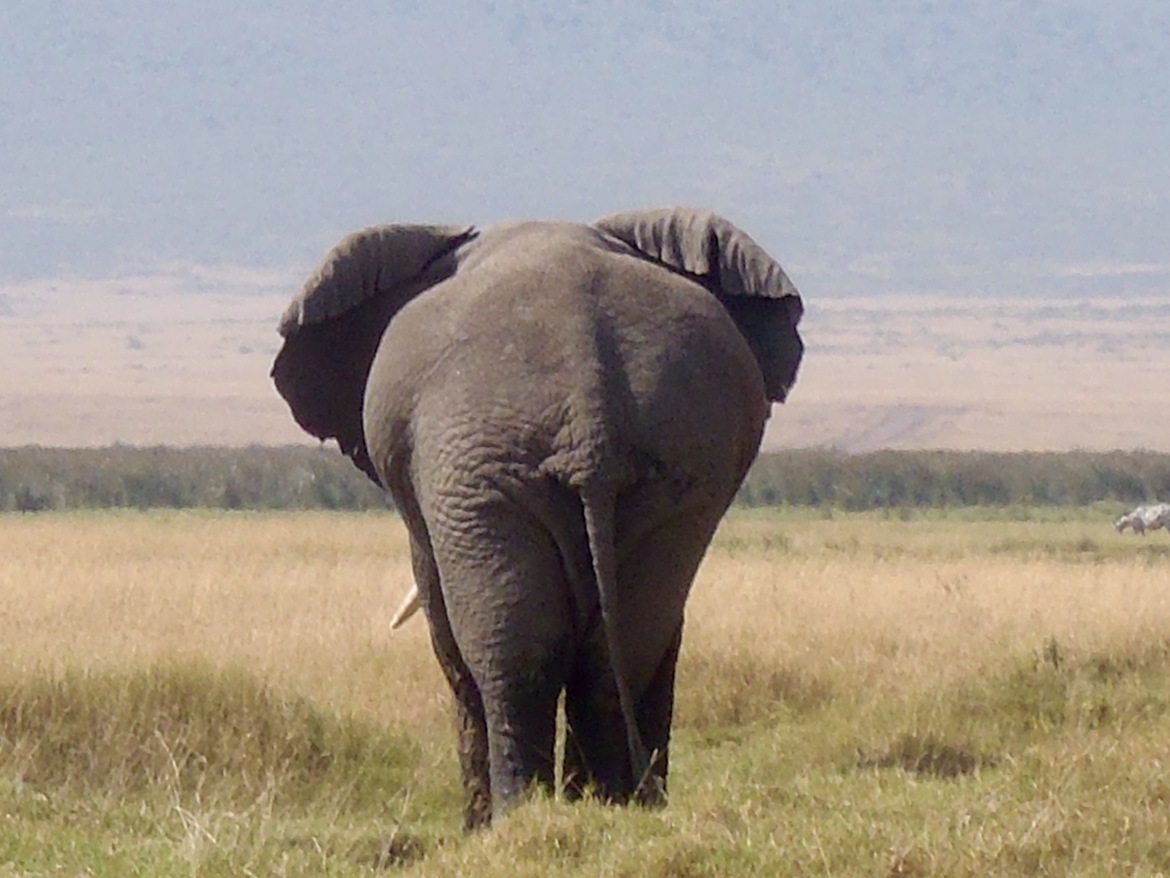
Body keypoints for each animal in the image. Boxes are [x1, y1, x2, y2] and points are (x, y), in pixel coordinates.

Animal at [271, 207, 804, 829]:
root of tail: (589, 415)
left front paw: (476, 827)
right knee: (623, 650)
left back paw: (514, 818)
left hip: (477, 474)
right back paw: (609, 807)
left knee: (511, 655)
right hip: (679, 474)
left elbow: (445, 629)